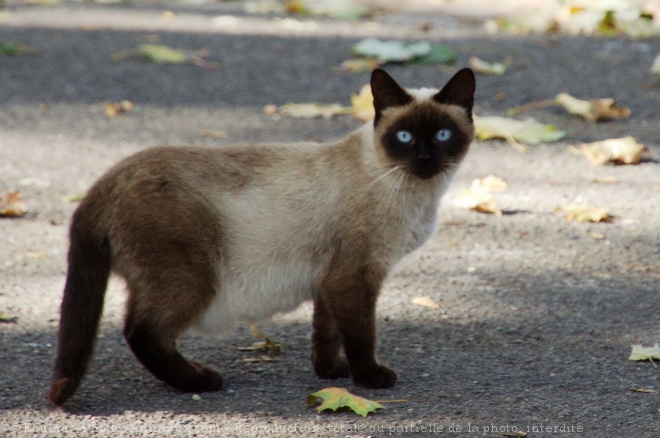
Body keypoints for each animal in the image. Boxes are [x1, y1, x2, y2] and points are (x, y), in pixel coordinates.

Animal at [47, 66, 474, 406]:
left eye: (442, 134)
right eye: (403, 137)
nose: (424, 158)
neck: (415, 194)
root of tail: (107, 180)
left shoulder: (330, 280)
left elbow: (326, 333)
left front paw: (331, 374)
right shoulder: (355, 277)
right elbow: (360, 335)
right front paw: (369, 378)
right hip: (194, 280)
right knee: (141, 332)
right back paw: (202, 381)